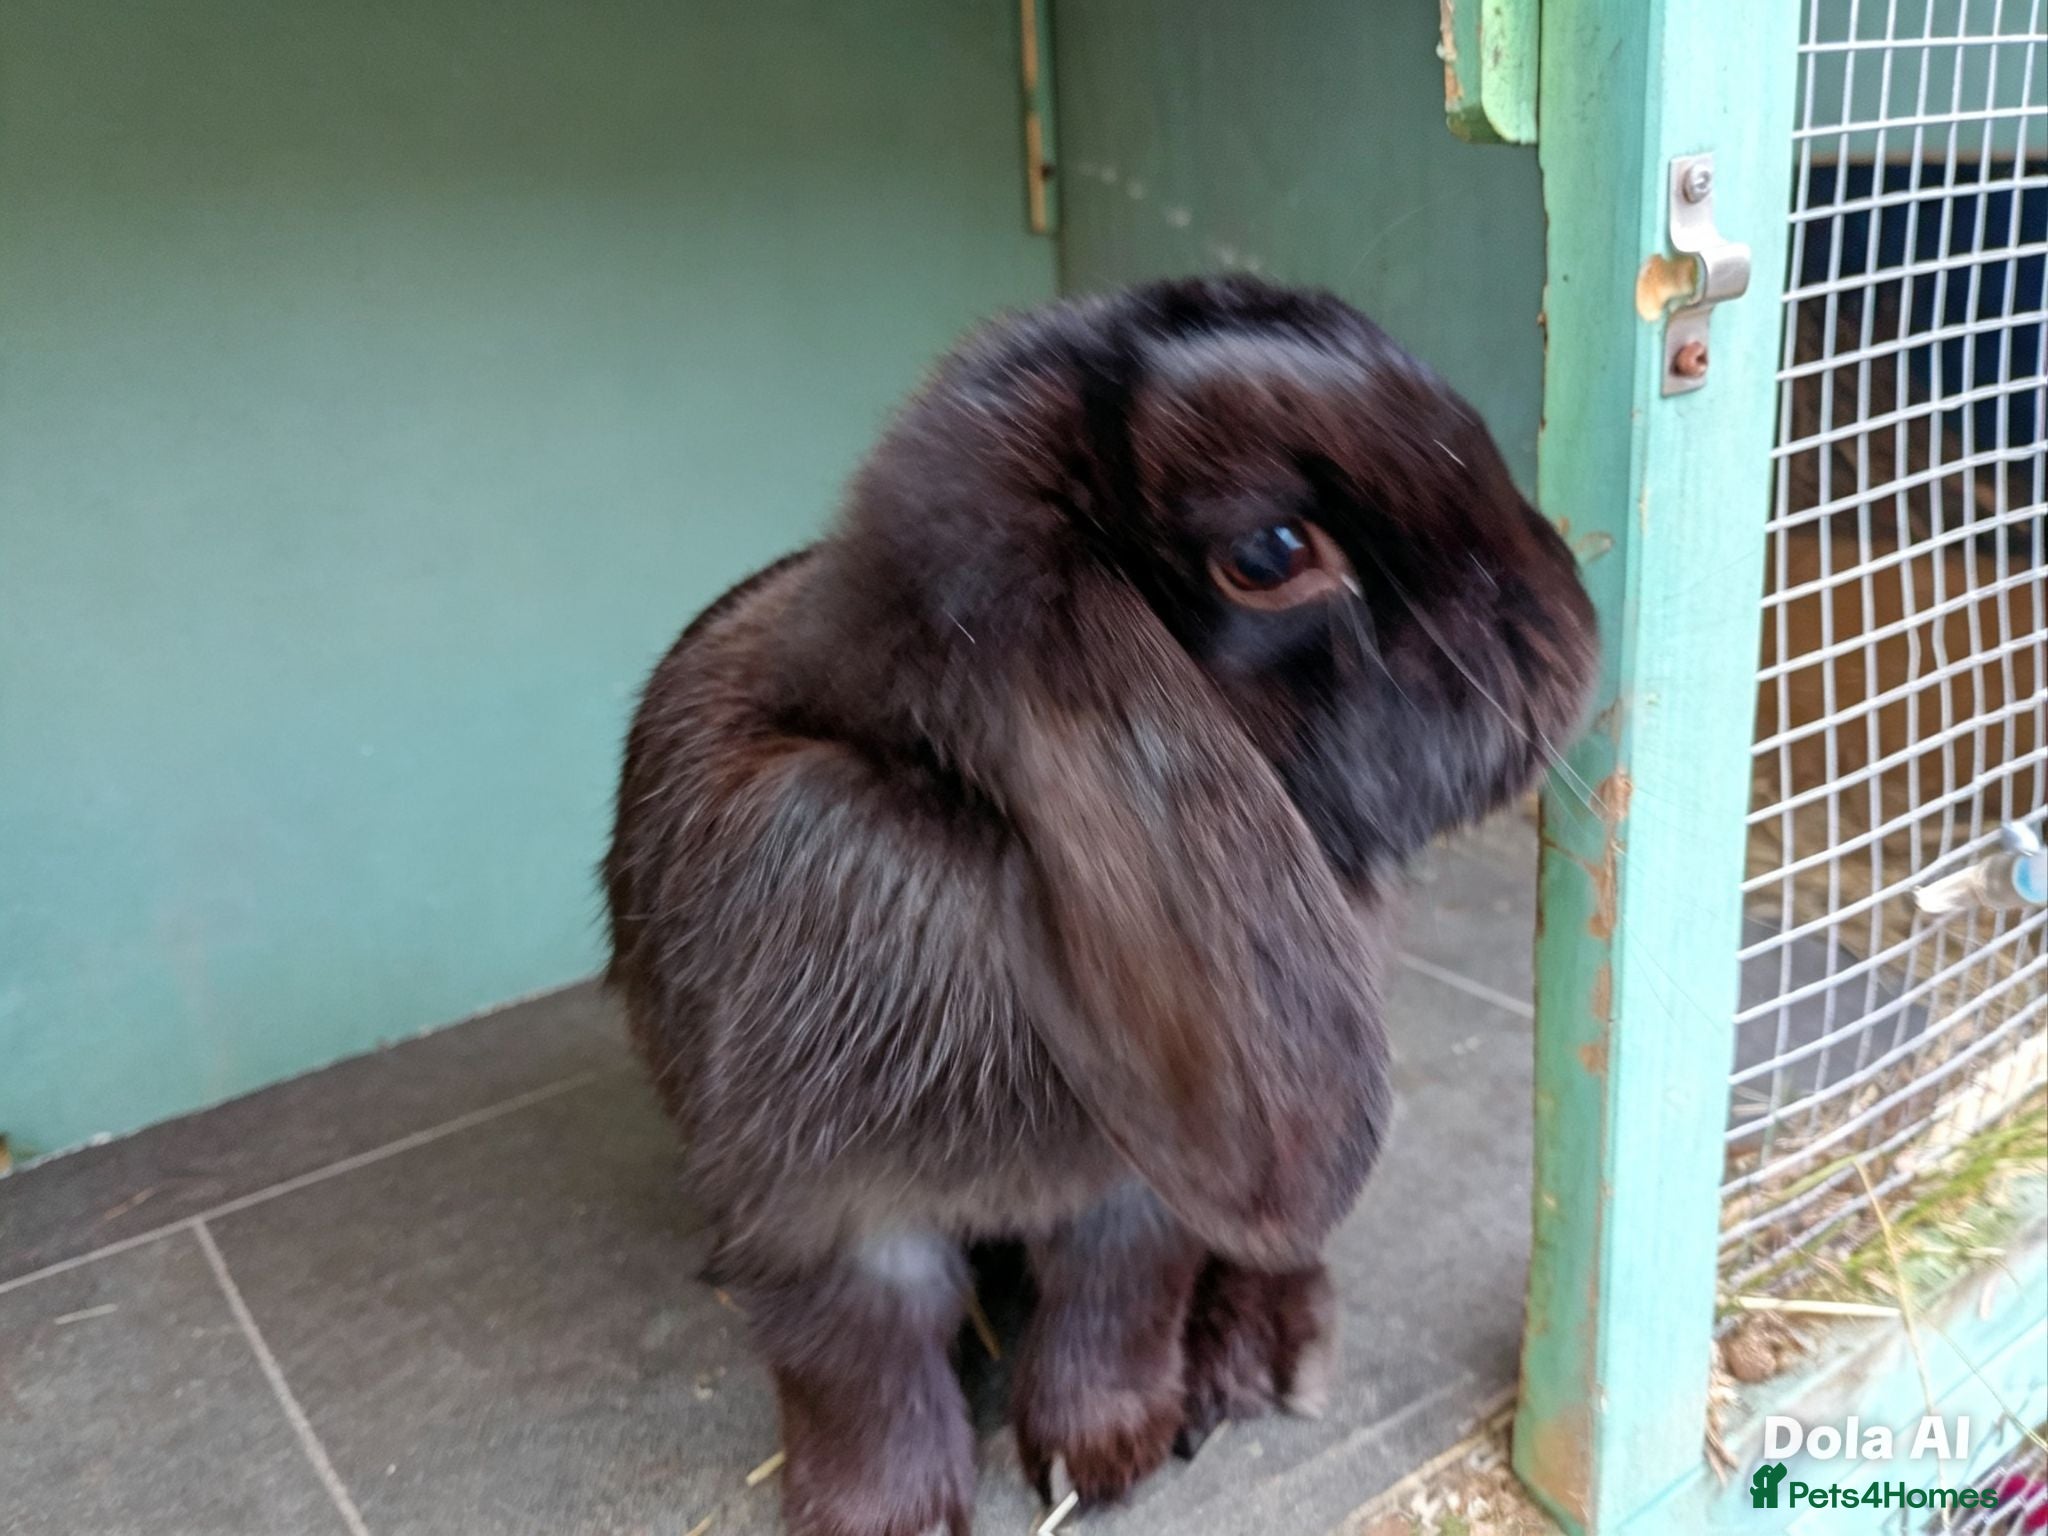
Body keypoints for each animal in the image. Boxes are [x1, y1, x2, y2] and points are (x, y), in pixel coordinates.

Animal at [603, 276, 1598, 1536]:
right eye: (1270, 552)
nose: (1575, 623)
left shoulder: (1138, 1197)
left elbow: (1113, 1299)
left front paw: (1102, 1457)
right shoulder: (822, 1211)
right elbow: (859, 1366)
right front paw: (884, 1516)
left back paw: (1261, 1359)